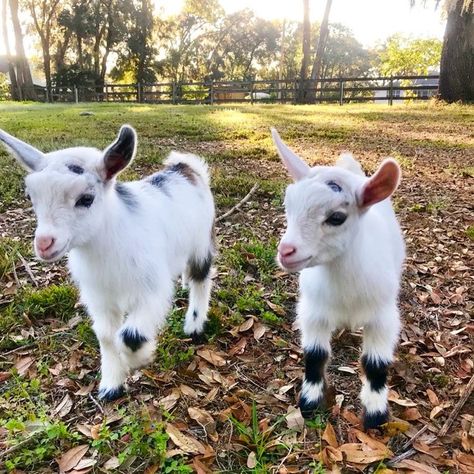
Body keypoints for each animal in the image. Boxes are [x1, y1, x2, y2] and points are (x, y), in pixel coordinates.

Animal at [0, 126, 216, 400]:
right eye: (31, 197)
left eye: (86, 198)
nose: (44, 243)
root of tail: (184, 167)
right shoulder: (98, 296)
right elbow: (106, 336)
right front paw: (111, 384)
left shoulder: (152, 289)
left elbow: (130, 335)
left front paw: (139, 359)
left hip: (201, 241)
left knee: (202, 276)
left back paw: (194, 326)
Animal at [272, 129, 406, 430]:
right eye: (288, 205)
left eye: (336, 217)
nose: (286, 251)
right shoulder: (314, 311)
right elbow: (315, 354)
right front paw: (309, 401)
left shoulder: (383, 317)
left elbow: (375, 363)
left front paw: (376, 413)